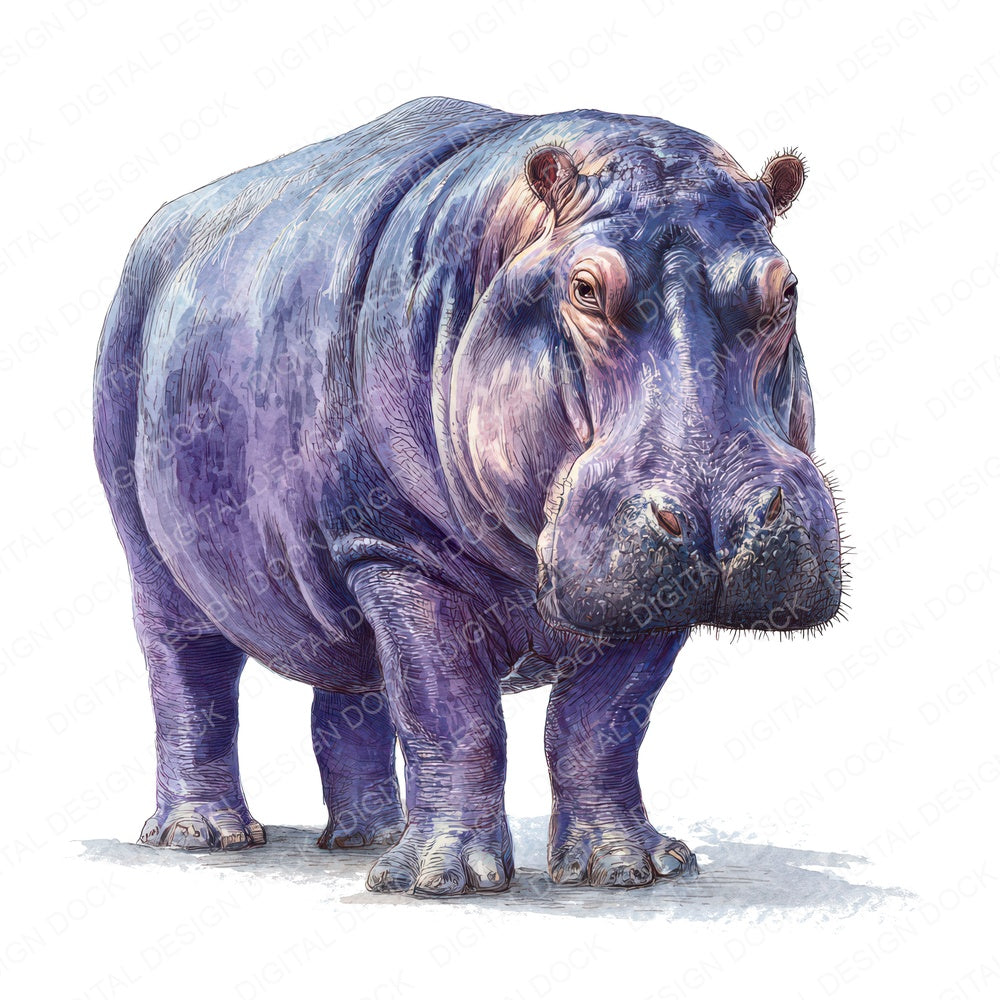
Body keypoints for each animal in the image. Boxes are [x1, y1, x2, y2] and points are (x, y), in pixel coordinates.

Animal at [93, 97, 842, 896]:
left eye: (787, 288)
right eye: (584, 288)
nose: (720, 519)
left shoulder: (646, 591)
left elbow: (601, 723)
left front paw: (631, 869)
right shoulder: (397, 550)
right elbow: (449, 708)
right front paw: (440, 881)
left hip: (334, 560)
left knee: (351, 684)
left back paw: (365, 839)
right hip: (154, 541)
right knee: (189, 669)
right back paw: (206, 838)